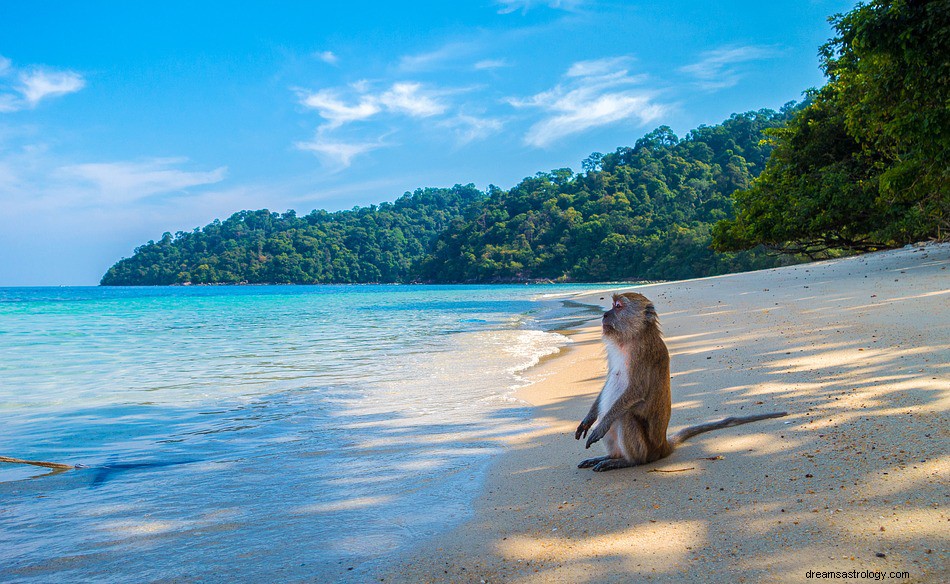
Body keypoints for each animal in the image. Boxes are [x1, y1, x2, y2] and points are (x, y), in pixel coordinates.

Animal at [572, 290, 788, 472]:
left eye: (618, 306)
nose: (604, 315)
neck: (632, 337)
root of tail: (662, 446)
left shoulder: (642, 353)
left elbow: (636, 391)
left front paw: (600, 426)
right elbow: (609, 381)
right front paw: (589, 419)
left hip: (646, 449)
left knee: (624, 416)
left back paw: (627, 461)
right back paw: (609, 457)